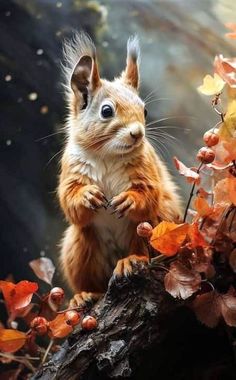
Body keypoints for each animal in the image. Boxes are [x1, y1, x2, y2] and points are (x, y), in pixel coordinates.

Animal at [58, 32, 182, 306]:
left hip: (153, 225)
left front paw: (130, 199)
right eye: (106, 111)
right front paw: (86, 196)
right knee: (92, 282)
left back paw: (130, 261)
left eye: (144, 109)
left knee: (143, 248)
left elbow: (149, 194)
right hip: (79, 248)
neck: (107, 155)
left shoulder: (147, 171)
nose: (138, 133)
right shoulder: (70, 171)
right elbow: (70, 202)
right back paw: (84, 295)